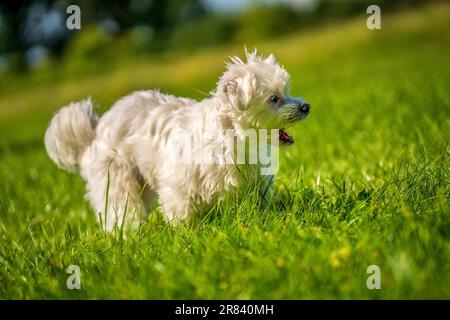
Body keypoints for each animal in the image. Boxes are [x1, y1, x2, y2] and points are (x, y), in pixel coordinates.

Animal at [44, 50, 310, 231]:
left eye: (286, 92)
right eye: (274, 99)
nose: (306, 106)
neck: (234, 137)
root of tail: (96, 131)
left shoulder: (255, 183)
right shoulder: (177, 187)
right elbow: (182, 217)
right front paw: (187, 239)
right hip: (118, 180)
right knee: (121, 210)